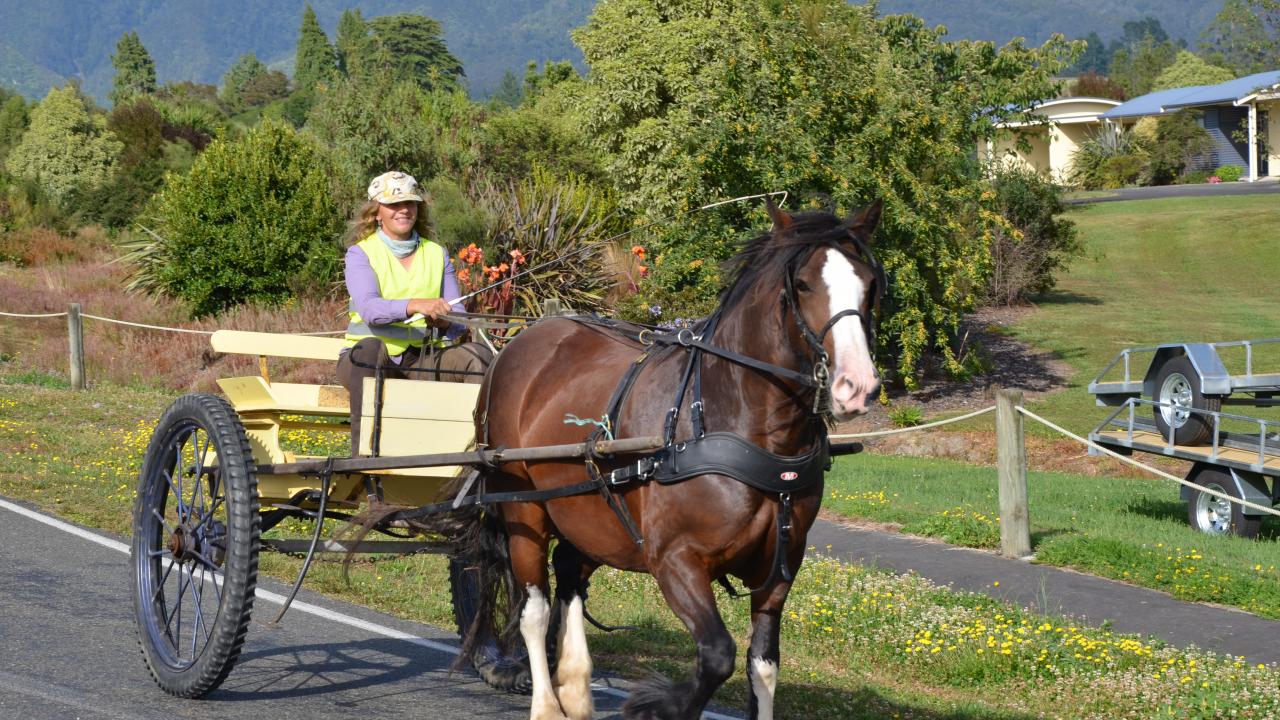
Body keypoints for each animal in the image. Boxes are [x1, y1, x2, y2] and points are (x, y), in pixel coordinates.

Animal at [458, 199, 880, 717]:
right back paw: (546, 703)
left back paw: (574, 687)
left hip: (591, 512)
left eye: (869, 284)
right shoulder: (677, 561)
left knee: (570, 573)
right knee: (533, 609)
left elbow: (762, 667)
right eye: (801, 284)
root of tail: (517, 343)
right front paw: (658, 703)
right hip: (523, 508)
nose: (857, 386)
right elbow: (716, 656)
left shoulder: (780, 571)